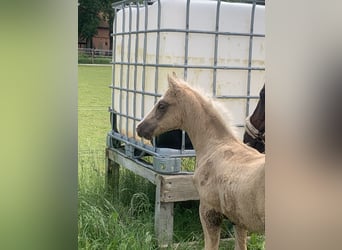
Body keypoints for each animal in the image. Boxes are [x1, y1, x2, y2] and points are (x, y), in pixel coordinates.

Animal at [138, 74, 266, 250]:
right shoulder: (238, 220)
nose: (140, 128)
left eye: (162, 105)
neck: (215, 146)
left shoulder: (209, 211)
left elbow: (210, 246)